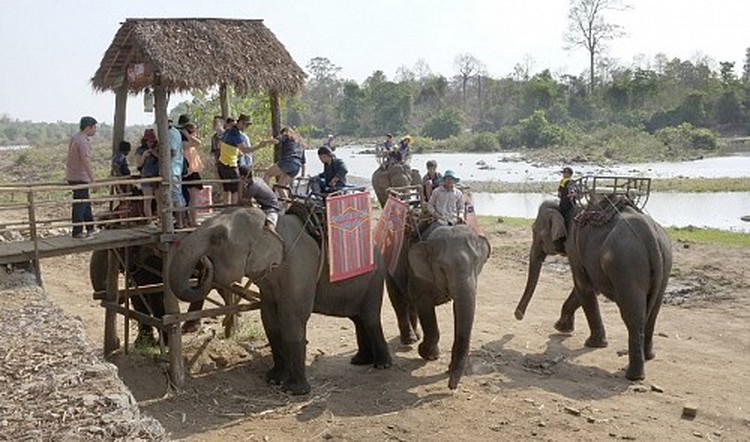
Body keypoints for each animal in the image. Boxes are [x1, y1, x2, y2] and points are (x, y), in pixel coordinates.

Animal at [168, 207, 392, 395]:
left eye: (218, 237)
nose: (204, 263)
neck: (270, 224)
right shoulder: (269, 281)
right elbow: (270, 321)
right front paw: (273, 380)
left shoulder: (300, 266)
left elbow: (293, 319)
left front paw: (295, 391)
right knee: (358, 319)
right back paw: (360, 360)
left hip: (375, 278)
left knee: (370, 318)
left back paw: (382, 365)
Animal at [386, 223, 491, 389]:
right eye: (442, 268)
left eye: (476, 263)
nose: (451, 386)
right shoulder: (418, 273)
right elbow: (425, 308)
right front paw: (428, 354)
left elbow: (458, 308)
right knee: (398, 301)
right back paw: (410, 340)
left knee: (410, 304)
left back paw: (417, 336)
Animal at [514, 198, 672, 380]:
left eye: (534, 230)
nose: (518, 315)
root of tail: (651, 236)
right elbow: (589, 288)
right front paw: (561, 327)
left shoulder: (574, 247)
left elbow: (583, 286)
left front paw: (590, 342)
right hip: (665, 263)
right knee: (653, 312)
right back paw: (649, 357)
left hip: (627, 265)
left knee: (632, 316)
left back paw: (633, 375)